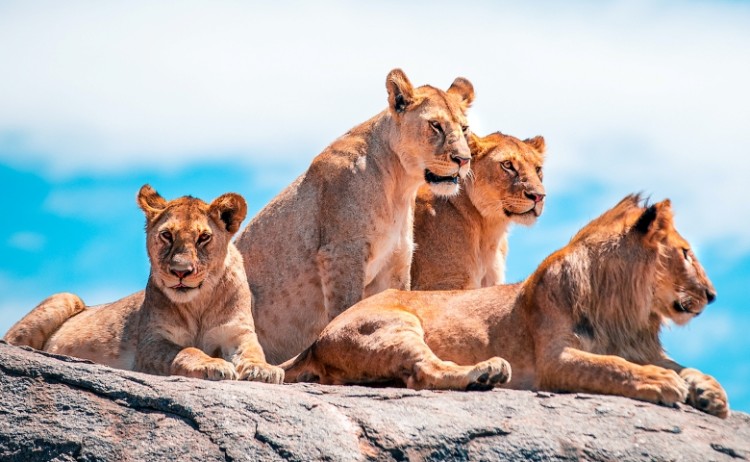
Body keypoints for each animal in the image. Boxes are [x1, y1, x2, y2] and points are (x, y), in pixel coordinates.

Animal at [4, 185, 283, 383]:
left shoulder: (237, 333)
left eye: (204, 237)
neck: (198, 303)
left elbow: (253, 351)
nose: (181, 271)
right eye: (167, 235)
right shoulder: (151, 344)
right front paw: (212, 364)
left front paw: (264, 370)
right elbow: (187, 351)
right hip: (66, 297)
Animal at [235, 69, 475, 364]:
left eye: (464, 128)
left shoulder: (396, 261)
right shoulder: (342, 253)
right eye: (435, 125)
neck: (399, 187)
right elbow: (346, 307)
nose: (464, 160)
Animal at [283, 194, 729, 418]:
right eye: (686, 253)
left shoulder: (639, 345)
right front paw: (659, 381)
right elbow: (612, 366)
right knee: (424, 372)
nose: (712, 295)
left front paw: (710, 392)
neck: (629, 312)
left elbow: (683, 365)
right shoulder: (555, 359)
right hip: (394, 324)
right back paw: (486, 372)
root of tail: (316, 340)